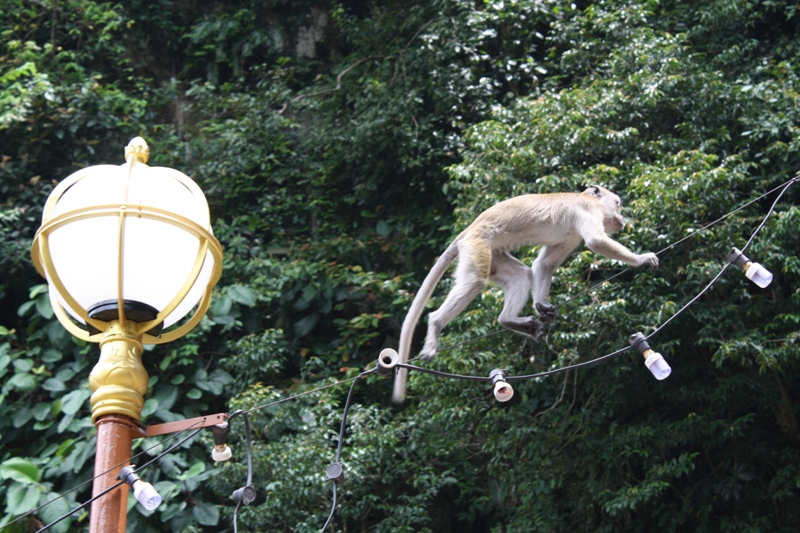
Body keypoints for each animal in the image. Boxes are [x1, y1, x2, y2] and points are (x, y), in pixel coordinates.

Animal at [390, 185, 660, 402]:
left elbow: (543, 265)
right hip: (477, 245)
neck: (585, 198)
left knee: (521, 275)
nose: (621, 217)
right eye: (617, 204)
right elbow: (595, 241)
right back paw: (436, 324)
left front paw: (542, 306)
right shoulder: (586, 211)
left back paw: (509, 320)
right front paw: (642, 259)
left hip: (494, 255)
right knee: (475, 282)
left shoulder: (571, 236)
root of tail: (467, 230)